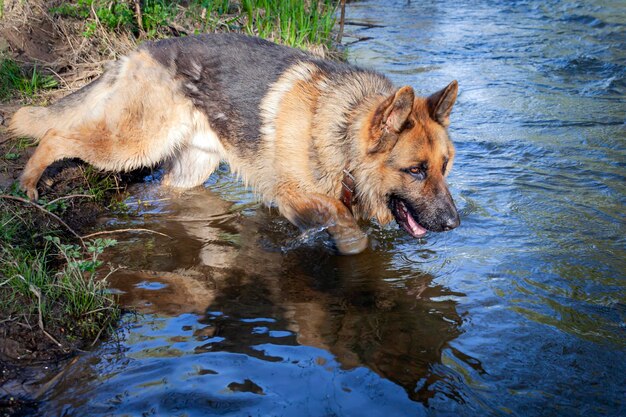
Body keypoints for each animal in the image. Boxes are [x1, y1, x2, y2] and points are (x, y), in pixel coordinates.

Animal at [9, 33, 458, 254]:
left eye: (444, 167)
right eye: (415, 170)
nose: (455, 224)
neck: (340, 130)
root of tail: (139, 50)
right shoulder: (291, 193)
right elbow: (345, 225)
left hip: (192, 169)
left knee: (168, 192)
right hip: (132, 145)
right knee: (56, 135)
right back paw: (28, 183)